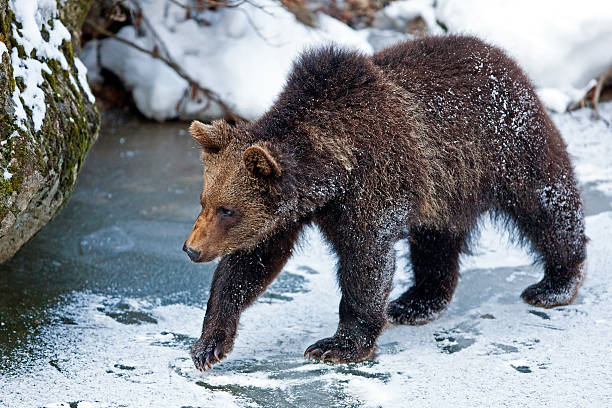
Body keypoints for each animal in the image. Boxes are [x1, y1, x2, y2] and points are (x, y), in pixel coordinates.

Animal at [183, 36, 588, 372]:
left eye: (228, 210)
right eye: (205, 201)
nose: (191, 249)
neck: (330, 174)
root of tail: (503, 57)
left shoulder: (373, 184)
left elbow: (366, 263)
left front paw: (335, 345)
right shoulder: (289, 212)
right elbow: (250, 265)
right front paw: (209, 344)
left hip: (509, 147)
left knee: (547, 207)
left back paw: (554, 284)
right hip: (446, 188)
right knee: (435, 242)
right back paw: (415, 302)